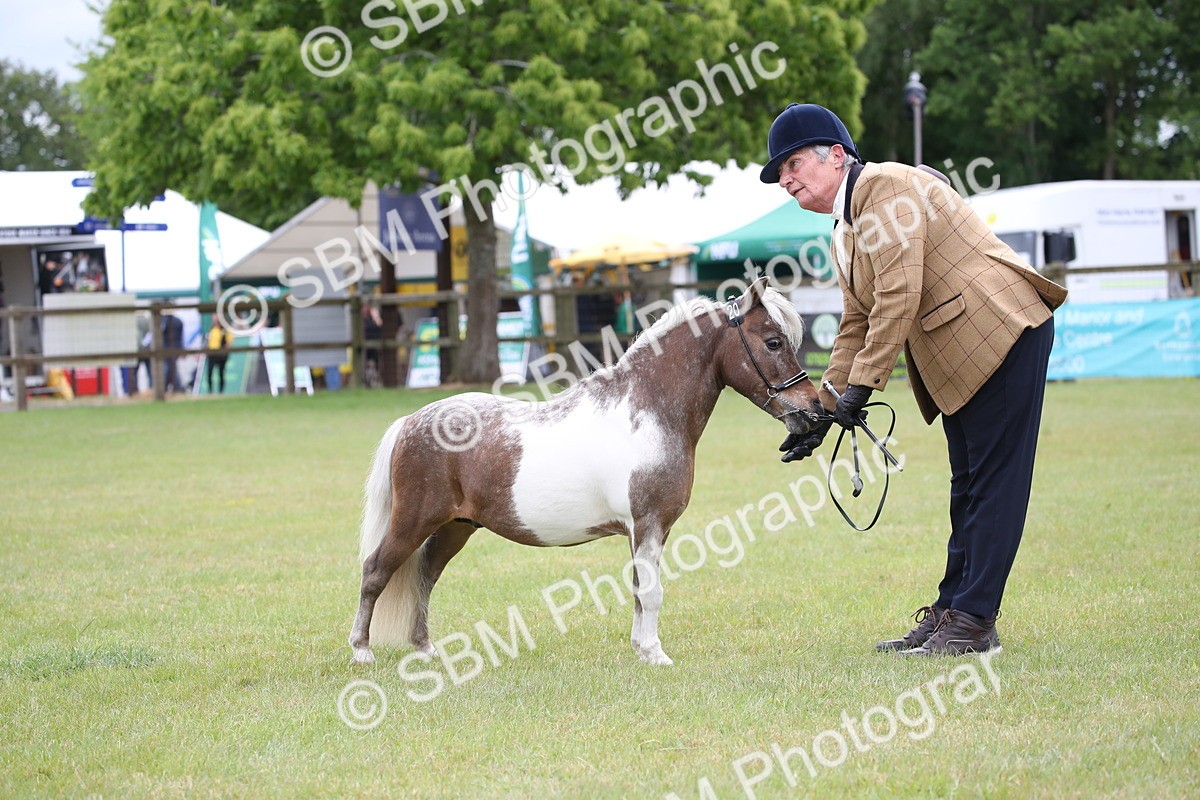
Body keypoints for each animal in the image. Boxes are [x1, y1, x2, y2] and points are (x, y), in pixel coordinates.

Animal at [349, 277, 825, 666]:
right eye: (773, 342)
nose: (813, 408)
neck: (647, 410)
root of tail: (411, 421)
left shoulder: (651, 530)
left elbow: (639, 588)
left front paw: (641, 649)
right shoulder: (647, 524)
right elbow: (650, 591)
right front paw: (655, 654)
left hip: (455, 526)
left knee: (425, 577)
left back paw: (425, 649)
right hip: (414, 520)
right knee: (375, 572)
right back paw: (362, 651)